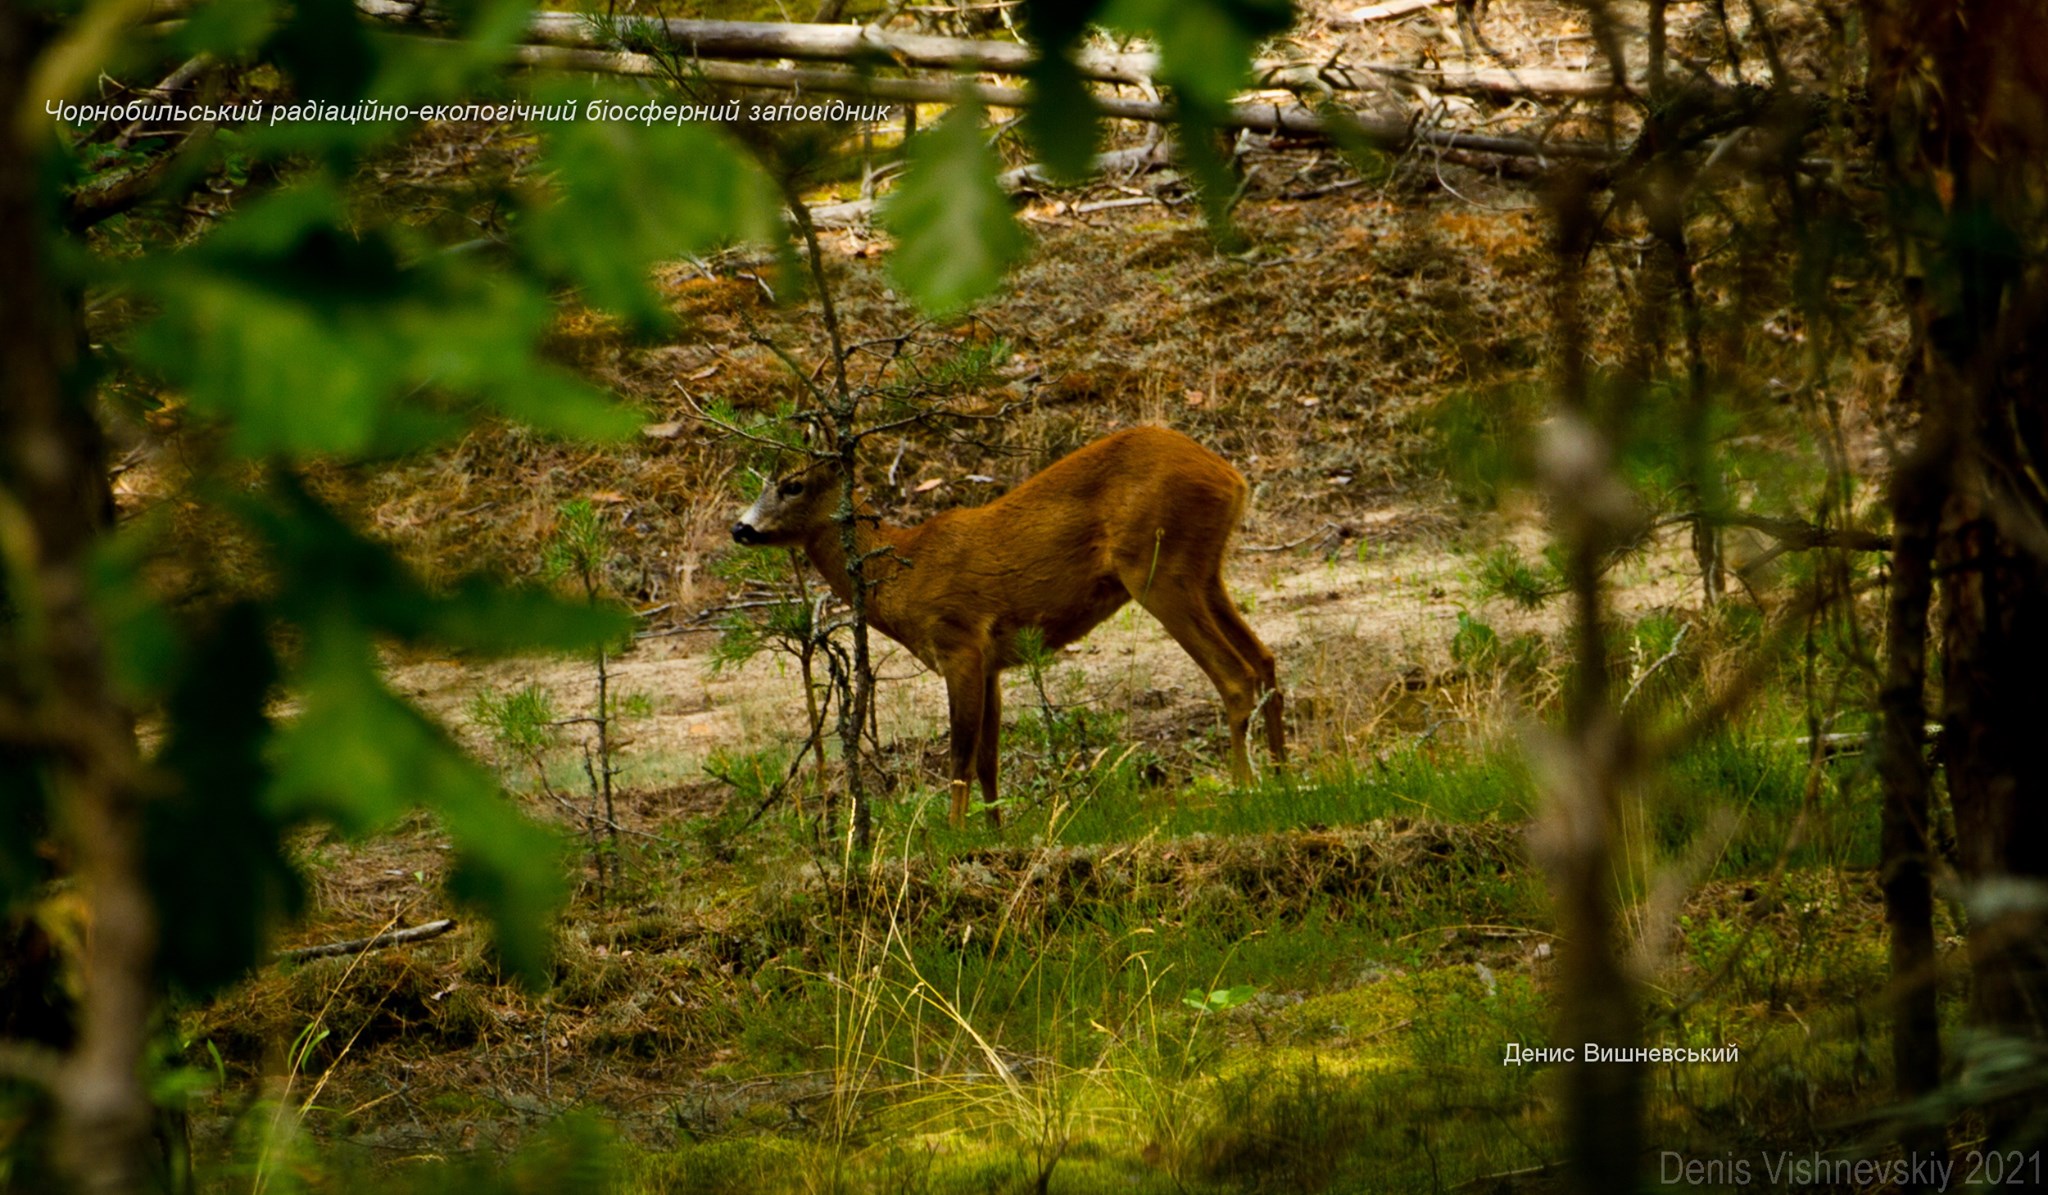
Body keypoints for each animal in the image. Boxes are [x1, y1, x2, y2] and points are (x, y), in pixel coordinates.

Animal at [733, 426, 1277, 828]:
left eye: (792, 484)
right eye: (762, 481)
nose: (740, 528)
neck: (902, 570)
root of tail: (1232, 477)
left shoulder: (959, 643)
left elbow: (958, 755)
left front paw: (954, 835)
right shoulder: (992, 662)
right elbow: (987, 758)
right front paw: (995, 832)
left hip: (1156, 567)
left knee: (1235, 675)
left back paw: (1246, 789)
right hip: (1203, 570)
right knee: (1265, 659)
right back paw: (1283, 775)